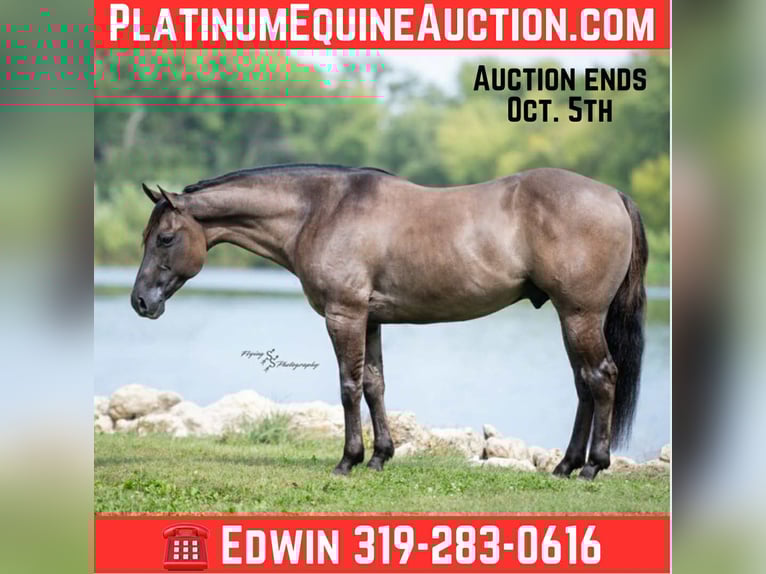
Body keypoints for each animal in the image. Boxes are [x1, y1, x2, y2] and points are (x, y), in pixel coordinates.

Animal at [132, 164, 647, 480]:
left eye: (165, 238)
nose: (140, 302)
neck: (320, 210)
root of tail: (614, 195)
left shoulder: (344, 315)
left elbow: (348, 386)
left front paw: (348, 460)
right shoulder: (371, 319)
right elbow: (375, 384)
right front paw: (380, 456)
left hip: (580, 315)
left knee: (601, 377)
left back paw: (592, 466)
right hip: (570, 317)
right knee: (584, 384)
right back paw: (565, 465)